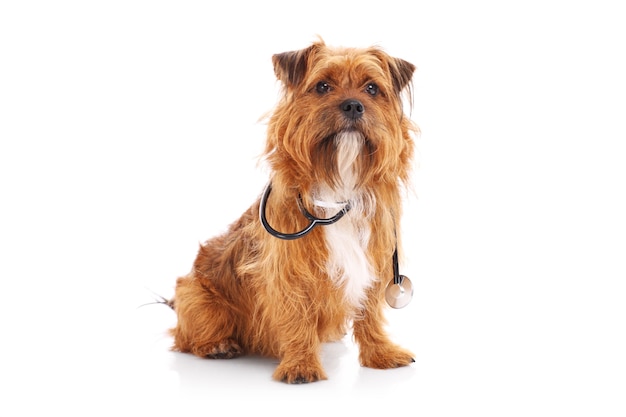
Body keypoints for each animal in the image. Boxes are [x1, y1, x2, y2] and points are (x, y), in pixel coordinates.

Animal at [168, 39, 416, 384]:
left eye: (372, 88)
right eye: (323, 86)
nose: (353, 105)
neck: (339, 182)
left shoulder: (373, 260)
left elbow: (370, 313)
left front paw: (380, 353)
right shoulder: (288, 270)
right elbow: (298, 315)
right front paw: (301, 365)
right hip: (196, 296)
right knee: (188, 336)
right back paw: (218, 345)